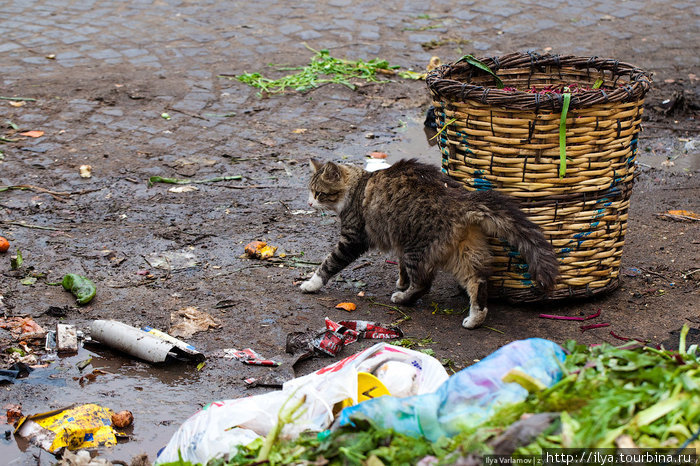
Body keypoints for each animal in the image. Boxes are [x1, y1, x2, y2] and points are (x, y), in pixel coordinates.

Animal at [300, 158, 556, 330]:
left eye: (319, 193)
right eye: (310, 192)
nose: (309, 203)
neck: (358, 185)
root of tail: (459, 198)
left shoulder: (353, 238)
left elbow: (329, 262)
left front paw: (312, 283)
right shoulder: (398, 243)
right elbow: (401, 268)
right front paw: (401, 281)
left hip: (418, 248)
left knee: (424, 284)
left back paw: (402, 299)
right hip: (463, 251)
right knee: (477, 282)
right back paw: (475, 318)